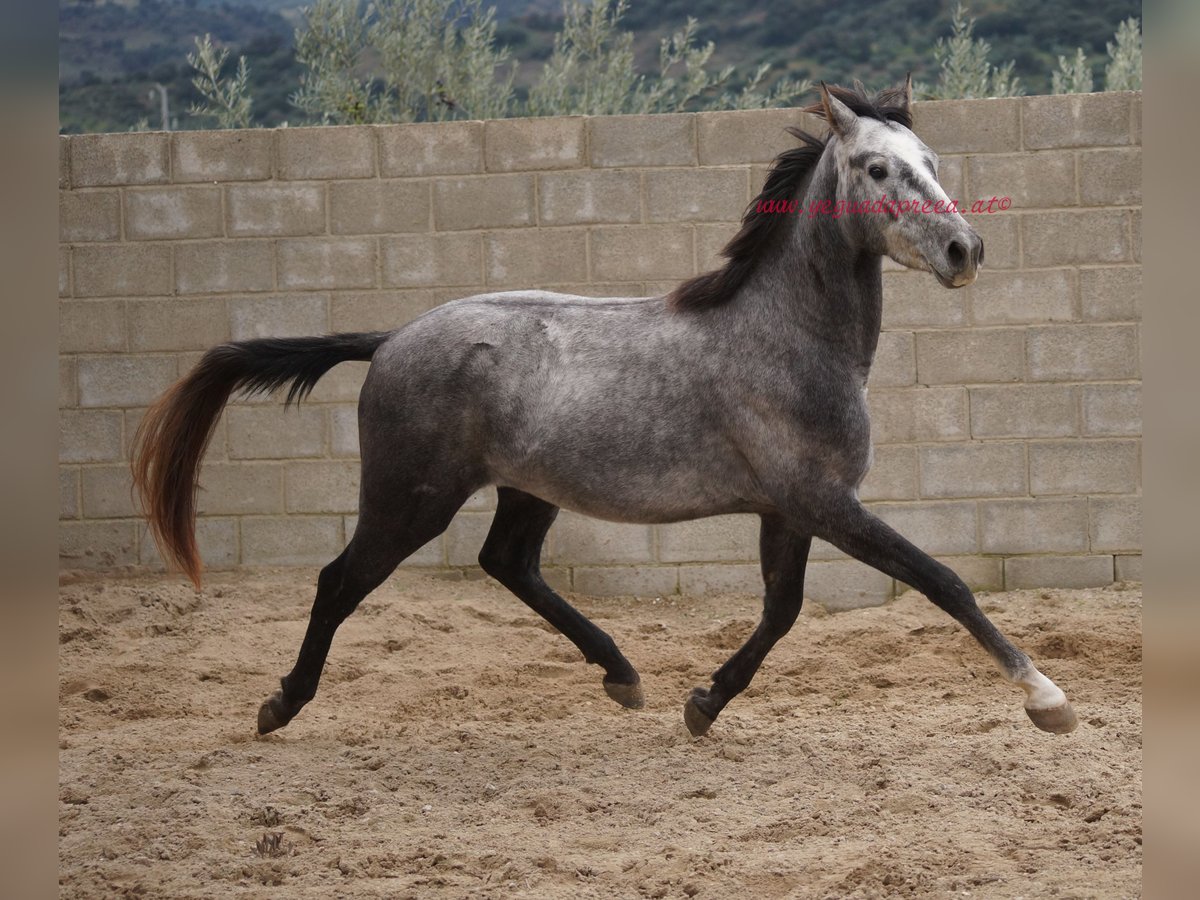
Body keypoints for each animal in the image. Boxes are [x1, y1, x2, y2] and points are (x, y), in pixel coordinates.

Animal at [133, 79, 1080, 739]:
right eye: (879, 167)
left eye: (933, 162)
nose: (965, 249)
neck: (786, 336)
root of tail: (396, 337)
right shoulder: (822, 502)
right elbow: (940, 579)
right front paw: (1048, 699)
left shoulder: (790, 508)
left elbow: (782, 612)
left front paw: (702, 703)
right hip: (411, 497)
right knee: (341, 580)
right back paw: (280, 706)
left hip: (524, 490)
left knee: (508, 564)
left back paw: (623, 674)